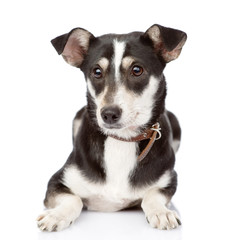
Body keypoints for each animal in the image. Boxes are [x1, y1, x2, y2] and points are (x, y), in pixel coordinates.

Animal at [37, 23, 186, 231]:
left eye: (137, 70)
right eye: (97, 72)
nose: (108, 114)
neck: (122, 139)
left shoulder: (169, 181)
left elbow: (152, 194)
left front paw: (161, 212)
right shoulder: (57, 181)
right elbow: (74, 199)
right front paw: (56, 215)